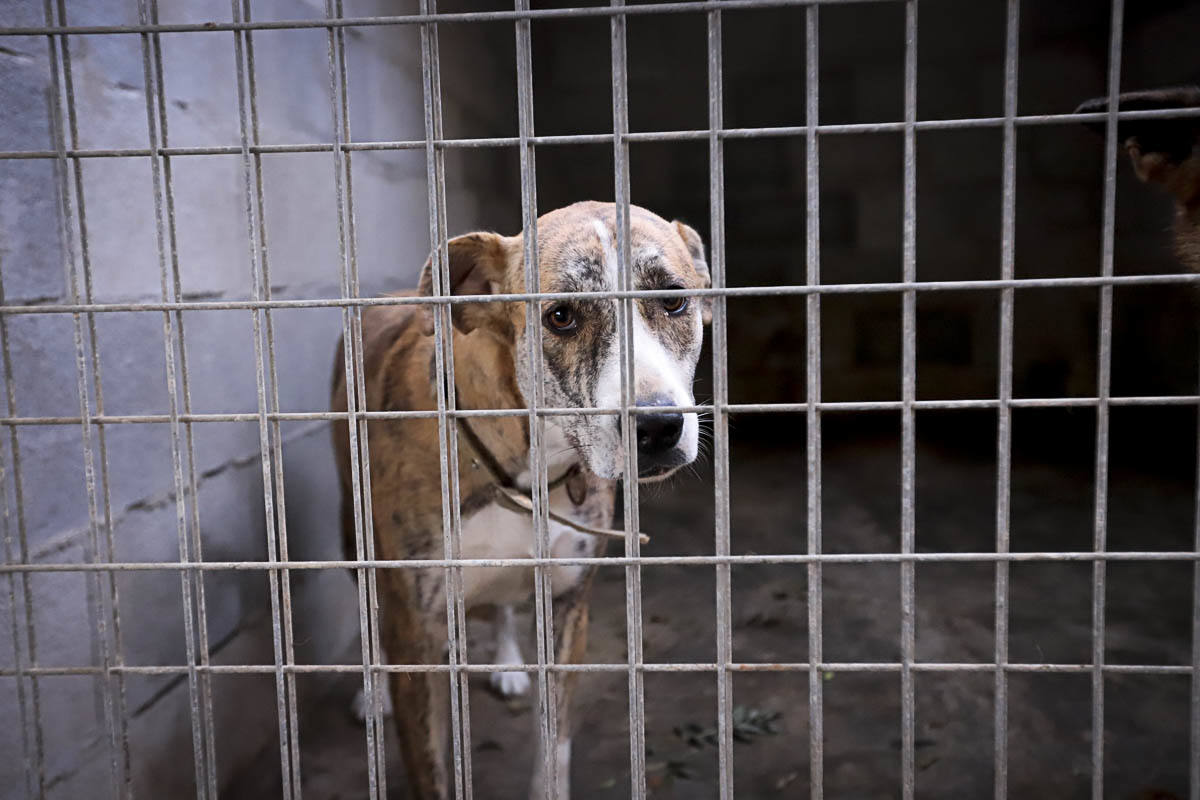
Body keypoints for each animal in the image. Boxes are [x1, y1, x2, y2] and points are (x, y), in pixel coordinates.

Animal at [331, 201, 710, 800]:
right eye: (560, 316)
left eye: (674, 299)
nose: (657, 427)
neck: (528, 470)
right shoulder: (417, 629)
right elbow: (430, 764)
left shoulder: (569, 606)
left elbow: (553, 744)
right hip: (354, 535)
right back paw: (373, 694)